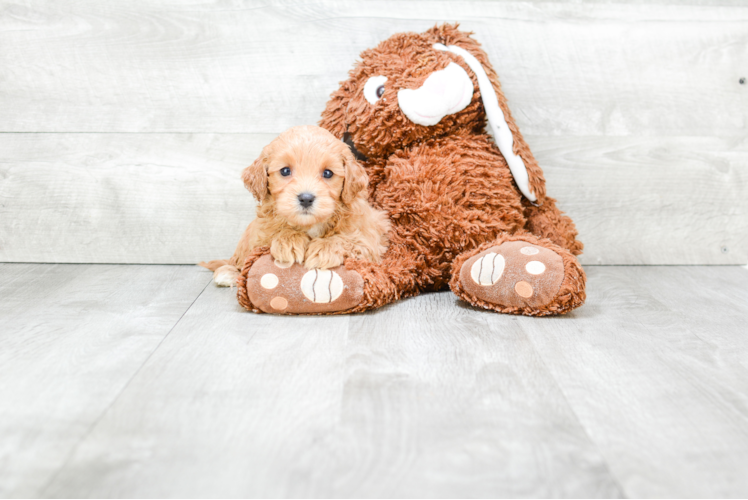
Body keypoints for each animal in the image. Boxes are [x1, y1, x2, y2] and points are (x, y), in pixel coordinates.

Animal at [202, 125, 394, 288]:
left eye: (328, 173)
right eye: (285, 171)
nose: (306, 198)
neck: (310, 225)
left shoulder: (371, 239)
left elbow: (347, 240)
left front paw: (323, 249)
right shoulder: (260, 235)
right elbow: (275, 234)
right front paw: (289, 242)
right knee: (238, 260)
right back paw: (229, 272)